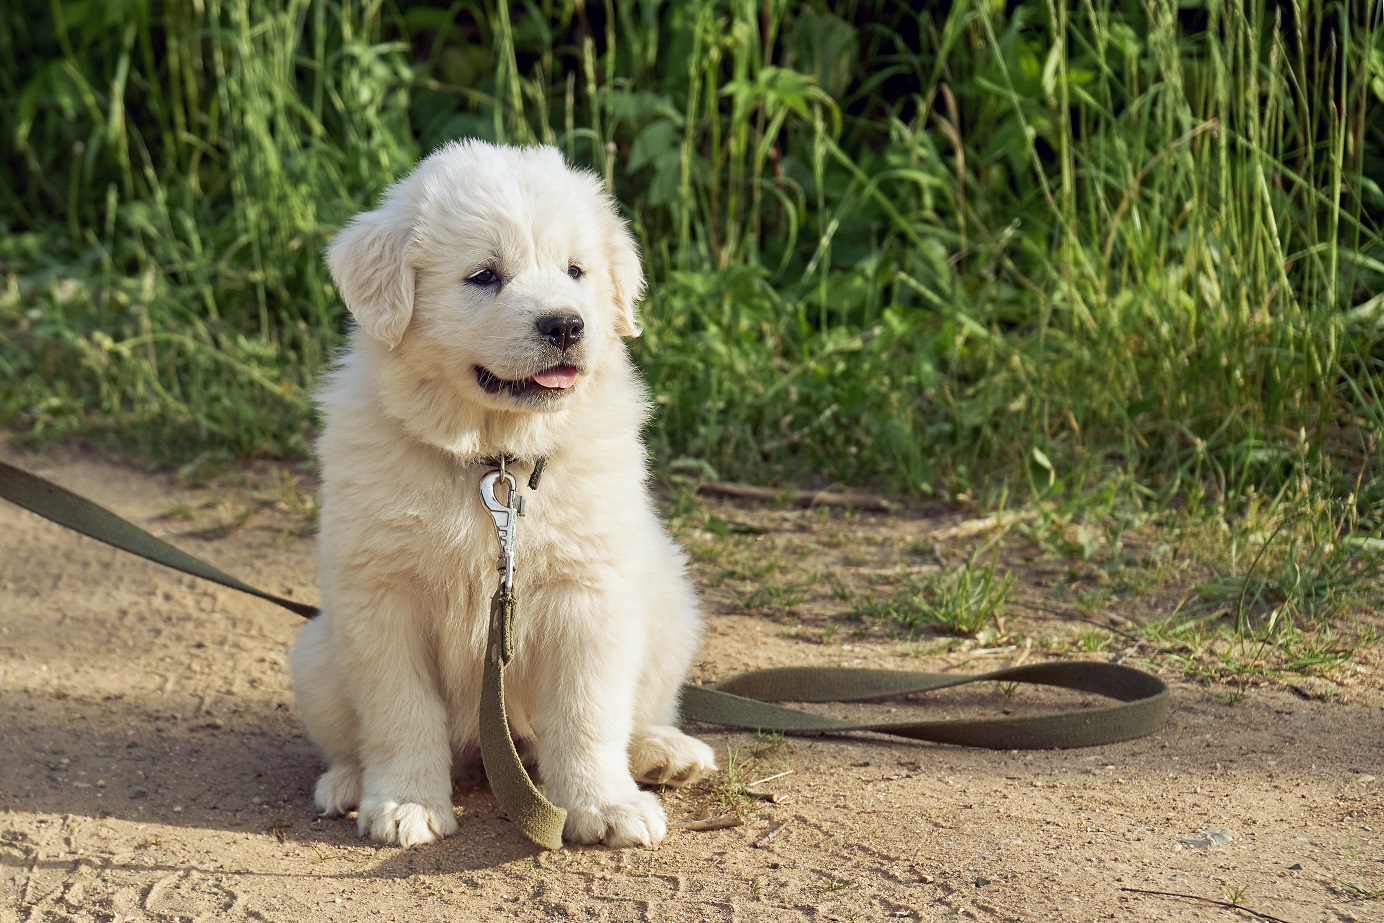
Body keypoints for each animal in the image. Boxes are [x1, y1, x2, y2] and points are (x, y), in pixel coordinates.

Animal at [296, 139, 719, 852]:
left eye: (576, 270)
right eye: (484, 276)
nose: (566, 325)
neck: (496, 461)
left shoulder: (589, 596)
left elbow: (586, 712)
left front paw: (603, 805)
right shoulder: (383, 598)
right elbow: (400, 710)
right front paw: (406, 803)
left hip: (669, 610)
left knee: (638, 711)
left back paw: (663, 752)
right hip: (317, 654)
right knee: (351, 734)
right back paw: (349, 781)